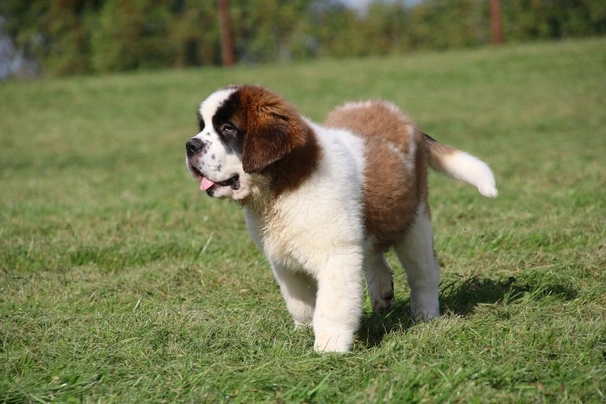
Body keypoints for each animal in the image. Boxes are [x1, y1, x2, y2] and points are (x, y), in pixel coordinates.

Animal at [185, 85, 498, 354]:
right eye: (203, 127)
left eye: (227, 129)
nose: (190, 145)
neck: (283, 184)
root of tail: (397, 114)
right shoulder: (284, 260)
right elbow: (298, 301)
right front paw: (302, 330)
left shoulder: (336, 255)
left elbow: (331, 305)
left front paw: (329, 348)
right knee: (373, 253)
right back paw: (382, 291)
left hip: (414, 221)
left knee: (423, 272)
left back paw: (426, 315)